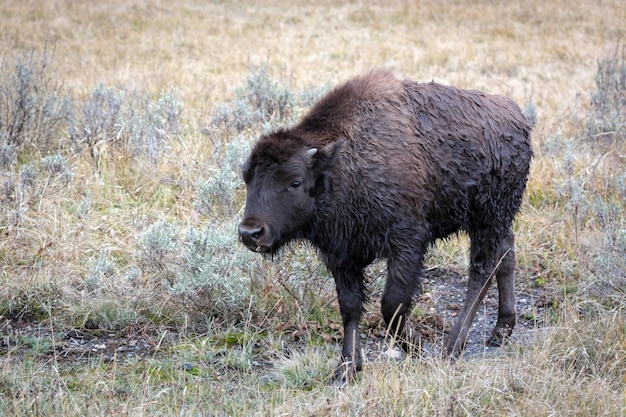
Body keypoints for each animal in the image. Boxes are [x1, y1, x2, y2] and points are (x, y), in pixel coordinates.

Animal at [236, 70, 528, 382]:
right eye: (247, 177)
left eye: (295, 181)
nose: (250, 233)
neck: (342, 164)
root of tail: (519, 118)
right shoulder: (342, 257)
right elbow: (350, 308)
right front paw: (347, 368)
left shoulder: (407, 244)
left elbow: (391, 304)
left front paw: (417, 349)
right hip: (498, 221)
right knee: (506, 256)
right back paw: (501, 330)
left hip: (487, 220)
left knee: (482, 271)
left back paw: (453, 346)